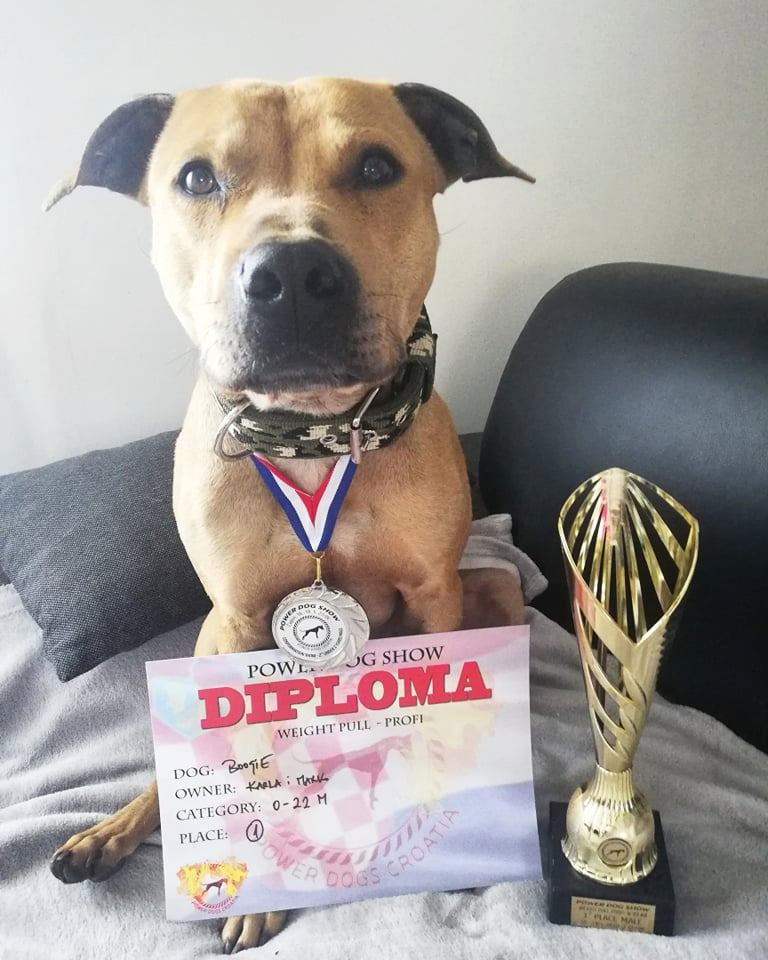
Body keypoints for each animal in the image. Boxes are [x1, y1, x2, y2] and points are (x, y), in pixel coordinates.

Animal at [46, 77, 533, 952]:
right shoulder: (240, 622)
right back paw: (113, 830)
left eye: (376, 166)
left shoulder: (435, 597)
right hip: (210, 642)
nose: (294, 271)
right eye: (197, 178)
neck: (315, 435)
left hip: (492, 591)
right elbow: (255, 762)